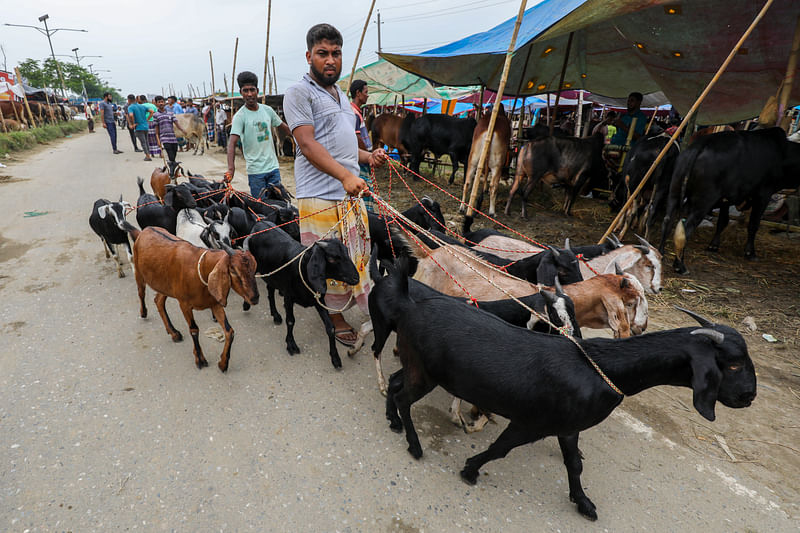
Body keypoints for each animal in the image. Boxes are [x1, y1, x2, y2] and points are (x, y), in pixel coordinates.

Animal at [130, 227, 258, 372]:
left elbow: (229, 331)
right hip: (139, 273)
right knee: (141, 293)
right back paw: (144, 313)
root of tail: (143, 231)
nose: (255, 298)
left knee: (158, 300)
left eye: (254, 268)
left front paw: (223, 363)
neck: (201, 269)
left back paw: (174, 333)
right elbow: (194, 330)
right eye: (234, 271)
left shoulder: (214, 304)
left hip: (166, 285)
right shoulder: (184, 304)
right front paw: (200, 360)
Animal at [378, 260, 760, 520]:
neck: (599, 365)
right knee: (403, 396)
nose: (749, 397)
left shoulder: (568, 426)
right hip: (424, 372)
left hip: (416, 365)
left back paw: (393, 422)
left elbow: (574, 465)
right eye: (733, 364)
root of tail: (409, 304)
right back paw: (413, 445)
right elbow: (500, 448)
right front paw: (470, 470)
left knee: (395, 387)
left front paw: (584, 503)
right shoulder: (532, 422)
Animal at [660, 126, 800, 272]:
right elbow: (753, 224)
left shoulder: (726, 199)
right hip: (704, 202)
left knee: (667, 221)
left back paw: (661, 254)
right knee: (685, 229)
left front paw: (713, 245)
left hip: (674, 191)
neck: (784, 153)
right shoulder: (764, 194)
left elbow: (723, 221)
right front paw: (750, 253)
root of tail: (701, 145)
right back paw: (679, 265)